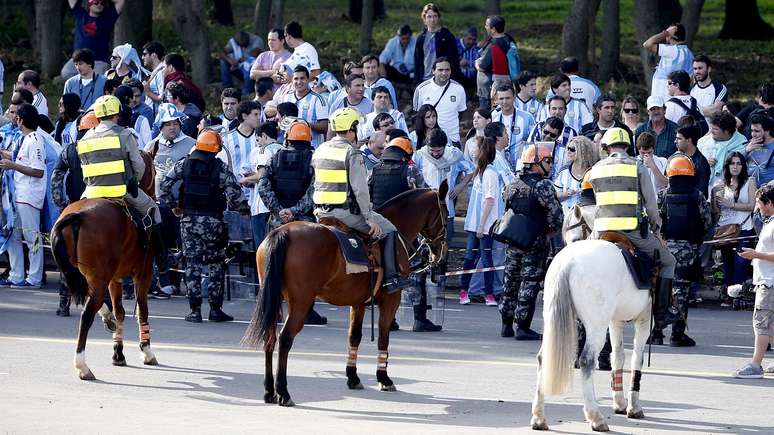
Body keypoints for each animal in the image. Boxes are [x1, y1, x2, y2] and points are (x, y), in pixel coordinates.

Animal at [49, 152, 159, 380]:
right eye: (153, 170)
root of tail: (78, 215)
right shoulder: (144, 274)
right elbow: (142, 310)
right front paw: (146, 350)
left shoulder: (114, 278)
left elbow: (120, 311)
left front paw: (118, 352)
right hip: (102, 277)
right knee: (86, 314)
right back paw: (82, 365)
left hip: (82, 273)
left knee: (87, 297)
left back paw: (106, 318)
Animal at [241, 181, 448, 406]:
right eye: (445, 214)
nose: (442, 253)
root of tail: (282, 232)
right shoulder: (391, 300)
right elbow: (383, 338)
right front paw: (383, 378)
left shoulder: (357, 303)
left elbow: (353, 337)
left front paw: (353, 377)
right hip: (300, 303)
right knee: (285, 338)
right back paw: (283, 392)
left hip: (272, 300)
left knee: (269, 337)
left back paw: (269, 391)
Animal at [536, 207, 656, 432]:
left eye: (573, 237)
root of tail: (569, 262)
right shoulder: (644, 320)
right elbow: (637, 359)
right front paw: (633, 407)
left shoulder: (615, 322)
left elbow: (618, 357)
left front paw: (619, 403)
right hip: (596, 327)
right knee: (586, 360)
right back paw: (595, 417)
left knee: (542, 358)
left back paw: (538, 418)